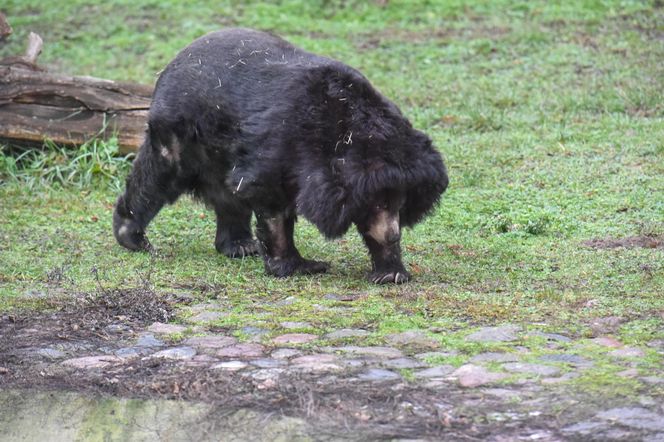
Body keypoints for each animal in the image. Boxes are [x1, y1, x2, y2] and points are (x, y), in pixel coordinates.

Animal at [113, 28, 446, 284]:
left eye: (401, 202)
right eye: (379, 202)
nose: (393, 235)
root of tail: (173, 62)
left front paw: (390, 272)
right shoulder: (279, 147)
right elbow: (271, 203)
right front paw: (299, 265)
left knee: (228, 196)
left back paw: (239, 246)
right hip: (181, 132)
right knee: (158, 175)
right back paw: (132, 235)